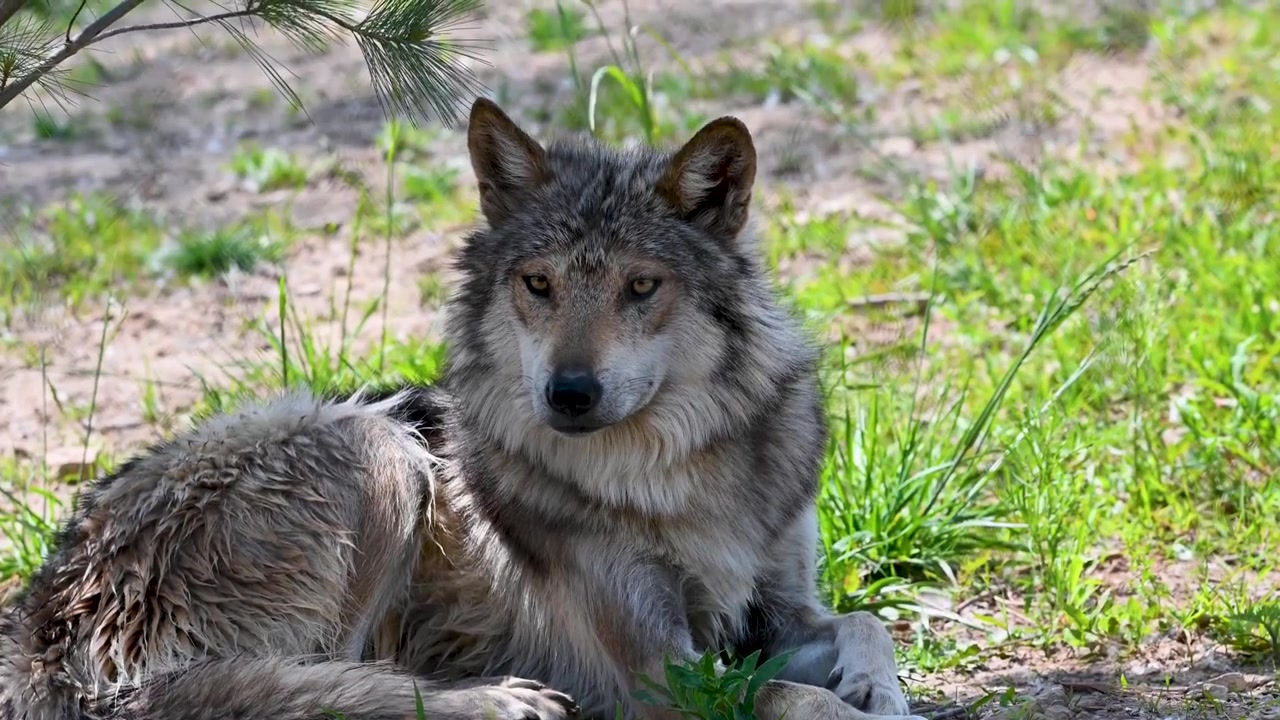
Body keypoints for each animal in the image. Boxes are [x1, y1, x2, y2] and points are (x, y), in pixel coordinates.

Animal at [0, 98, 926, 720]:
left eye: (641, 287)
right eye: (538, 284)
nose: (569, 392)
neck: (673, 472)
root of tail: (38, 622)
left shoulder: (772, 613)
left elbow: (866, 621)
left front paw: (875, 686)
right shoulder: (663, 670)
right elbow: (789, 701)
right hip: (377, 450)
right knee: (304, 690)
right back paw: (497, 700)